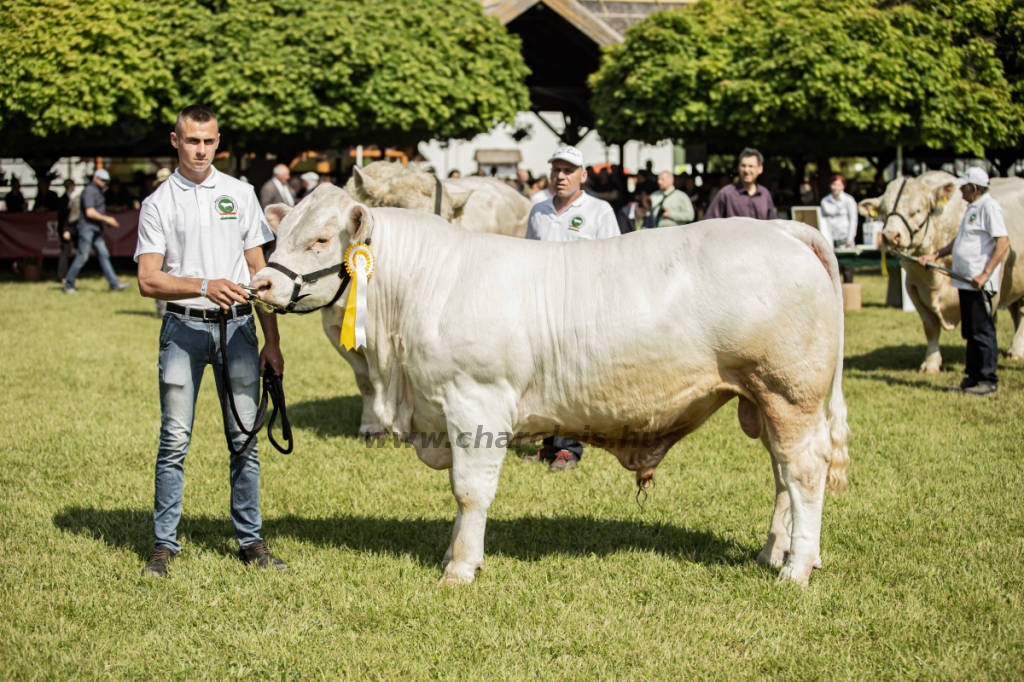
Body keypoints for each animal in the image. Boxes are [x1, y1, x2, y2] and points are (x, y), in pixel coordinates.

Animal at [251, 184, 851, 585]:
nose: (259, 283)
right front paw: (456, 555)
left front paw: (459, 568)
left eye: (321, 239)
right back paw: (775, 552)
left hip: (789, 393)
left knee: (804, 471)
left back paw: (796, 568)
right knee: (782, 475)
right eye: (278, 236)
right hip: (767, 401)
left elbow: (469, 491)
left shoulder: (477, 403)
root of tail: (780, 227)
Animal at [860, 169, 1024, 372]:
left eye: (917, 210)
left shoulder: (989, 291)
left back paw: (1016, 350)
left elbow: (980, 327)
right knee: (1017, 312)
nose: (890, 236)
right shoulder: (912, 286)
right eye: (883, 212)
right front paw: (931, 363)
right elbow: (930, 326)